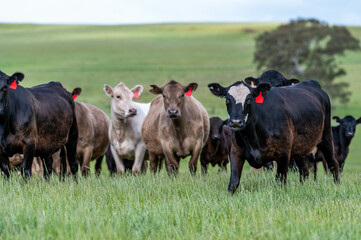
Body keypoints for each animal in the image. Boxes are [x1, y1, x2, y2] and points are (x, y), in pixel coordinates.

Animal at [207, 80, 338, 193]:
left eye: (249, 100)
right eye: (227, 100)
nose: (236, 122)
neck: (253, 137)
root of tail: (311, 83)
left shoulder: (283, 154)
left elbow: (280, 181)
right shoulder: (236, 152)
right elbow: (233, 183)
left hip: (326, 137)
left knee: (333, 163)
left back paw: (337, 185)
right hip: (300, 147)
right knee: (304, 170)